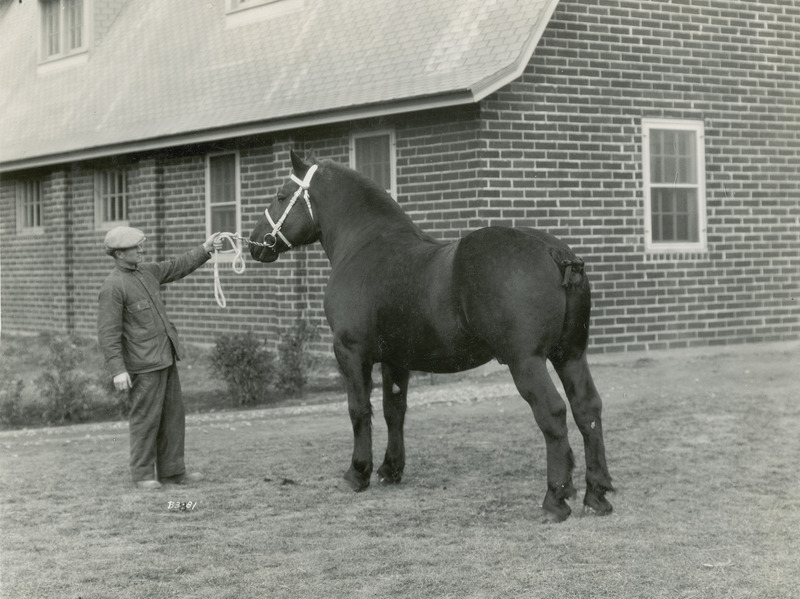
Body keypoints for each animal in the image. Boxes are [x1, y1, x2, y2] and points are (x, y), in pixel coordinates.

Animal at [250, 152, 612, 524]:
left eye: (280, 195)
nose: (255, 242)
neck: (365, 244)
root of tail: (554, 252)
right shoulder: (396, 359)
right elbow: (394, 410)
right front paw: (390, 470)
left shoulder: (351, 352)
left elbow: (359, 409)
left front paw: (357, 473)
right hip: (570, 355)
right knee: (587, 409)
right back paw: (596, 494)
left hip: (526, 361)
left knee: (553, 413)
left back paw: (555, 499)